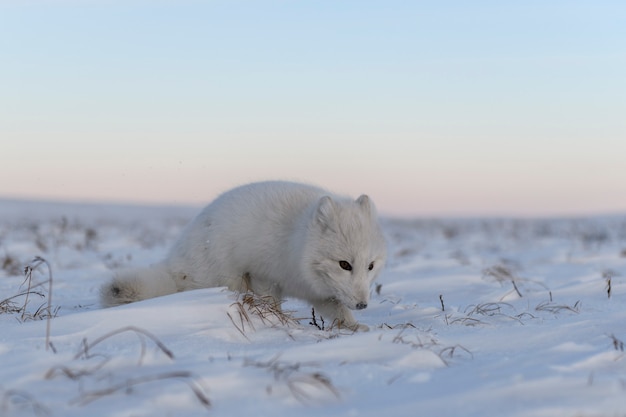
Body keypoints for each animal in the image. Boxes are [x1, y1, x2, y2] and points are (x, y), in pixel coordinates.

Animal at [100, 180, 386, 330]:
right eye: (344, 264)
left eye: (370, 266)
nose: (363, 305)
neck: (295, 240)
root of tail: (175, 261)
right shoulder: (263, 275)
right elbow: (271, 303)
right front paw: (277, 323)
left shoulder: (318, 292)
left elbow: (338, 311)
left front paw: (356, 328)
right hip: (228, 279)